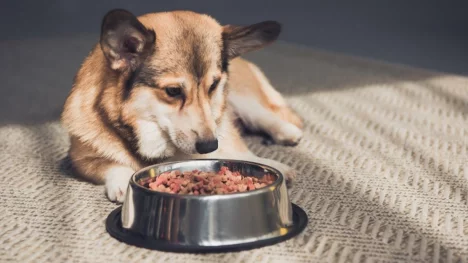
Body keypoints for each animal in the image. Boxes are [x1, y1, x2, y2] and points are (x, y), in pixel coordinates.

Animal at [62, 8, 304, 202]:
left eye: (213, 85)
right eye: (173, 91)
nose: (209, 145)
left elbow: (238, 152)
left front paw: (272, 165)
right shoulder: (80, 159)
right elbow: (112, 164)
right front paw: (122, 182)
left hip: (240, 100)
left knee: (263, 117)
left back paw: (288, 133)